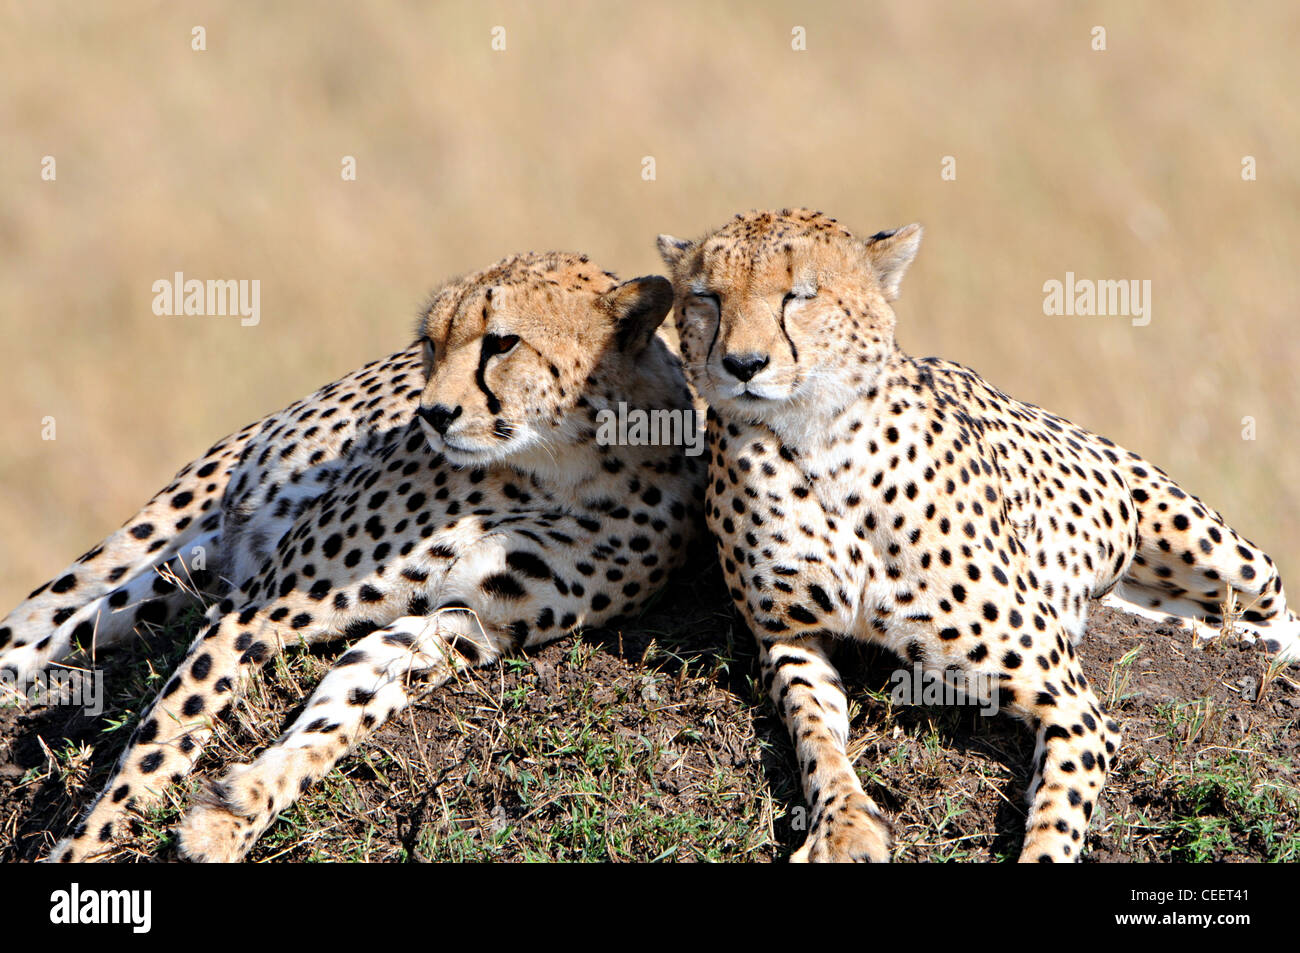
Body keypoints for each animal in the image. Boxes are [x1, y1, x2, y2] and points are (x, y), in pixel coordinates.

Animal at [0, 250, 702, 863]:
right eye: (432, 343)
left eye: (502, 343)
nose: (433, 413)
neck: (562, 466)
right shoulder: (261, 605)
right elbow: (164, 740)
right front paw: (92, 849)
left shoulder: (469, 624)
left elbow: (351, 702)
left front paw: (235, 812)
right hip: (157, 529)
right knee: (38, 621)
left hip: (175, 581)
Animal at [660, 208, 1300, 863]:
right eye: (707, 297)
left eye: (800, 295)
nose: (742, 366)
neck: (813, 441)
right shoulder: (789, 638)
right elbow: (815, 734)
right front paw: (845, 828)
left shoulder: (1070, 701)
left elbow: (1057, 811)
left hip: (1226, 558)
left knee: (1272, 617)